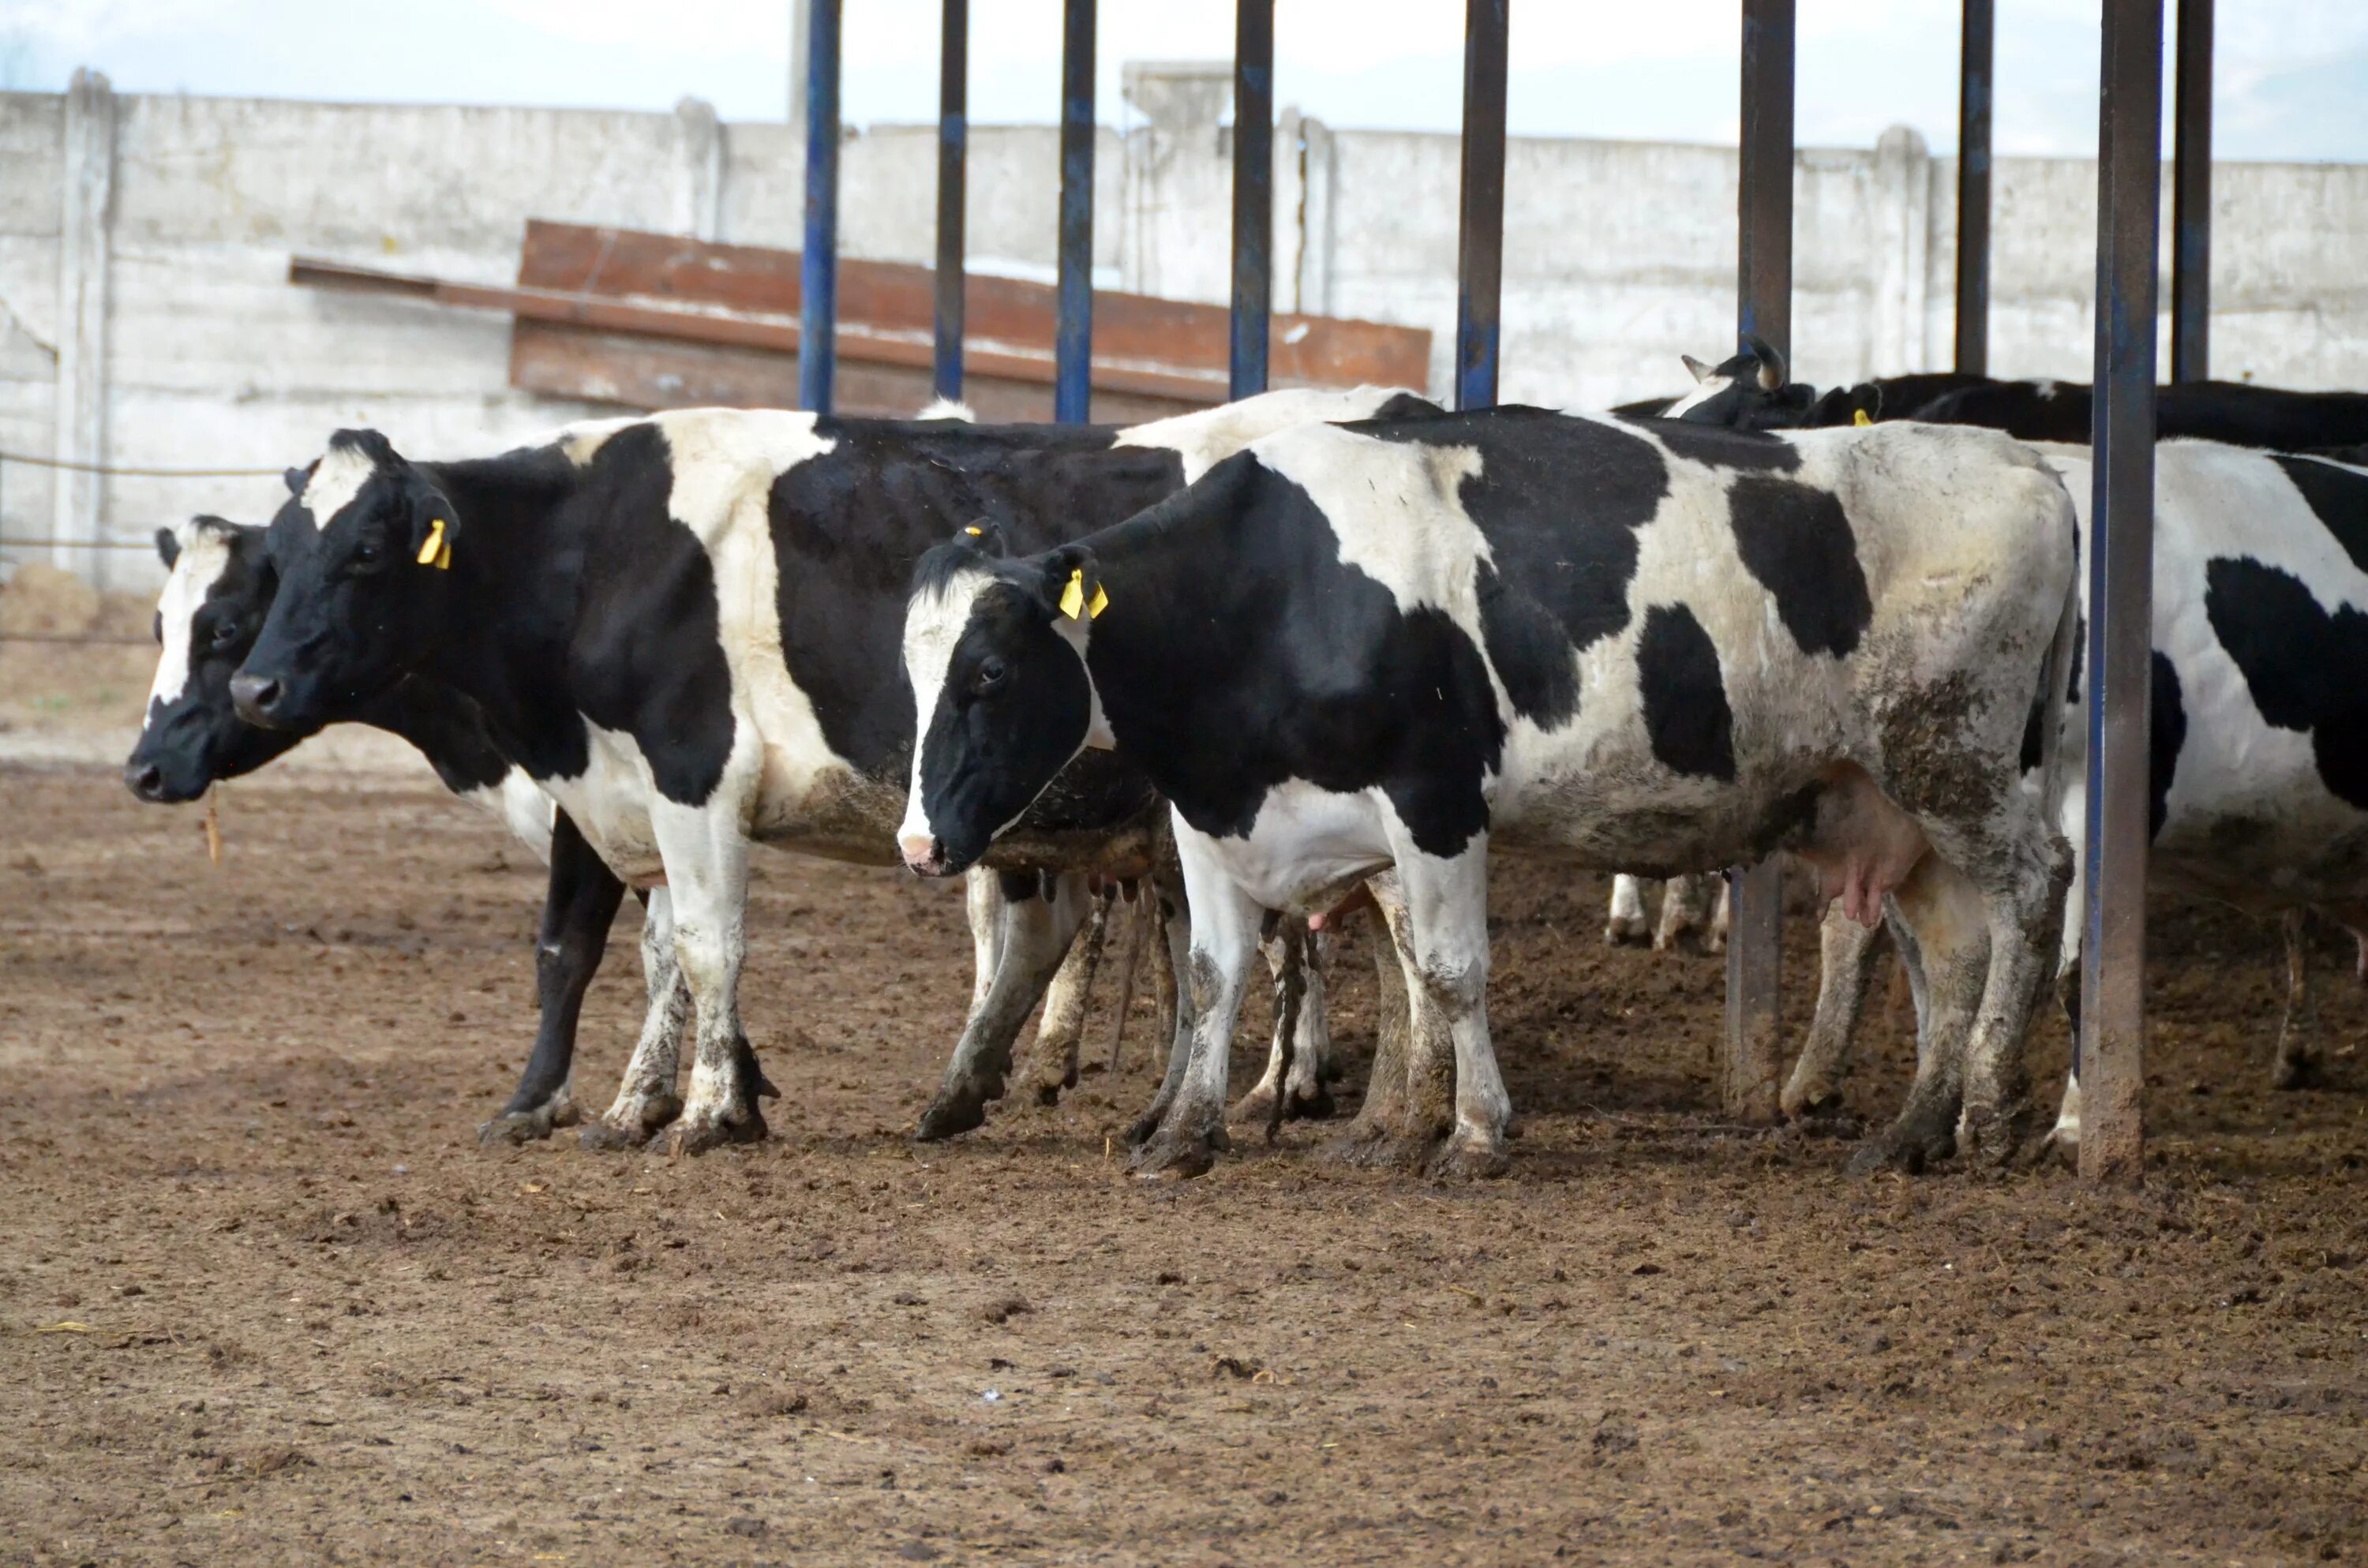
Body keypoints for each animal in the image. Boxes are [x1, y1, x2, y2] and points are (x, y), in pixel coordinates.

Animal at [226, 391, 1421, 1155]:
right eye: (277, 556)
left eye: (366, 552)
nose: (254, 688)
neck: (602, 552)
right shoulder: (611, 790)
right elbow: (608, 953)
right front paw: (618, 1103)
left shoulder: (691, 773)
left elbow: (705, 948)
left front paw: (708, 1113)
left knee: (1388, 938)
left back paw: (1382, 1117)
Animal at [895, 405, 2084, 1179]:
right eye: (911, 671)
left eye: (988, 673)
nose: (918, 841)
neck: (1274, 589)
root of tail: (2021, 464)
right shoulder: (1215, 809)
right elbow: (1217, 970)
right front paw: (1188, 1135)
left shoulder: (1436, 797)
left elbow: (1451, 972)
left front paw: (1470, 1133)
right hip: (1896, 799)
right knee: (1954, 946)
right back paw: (1915, 1128)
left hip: (1960, 759)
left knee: (2036, 889)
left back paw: (1991, 1115)